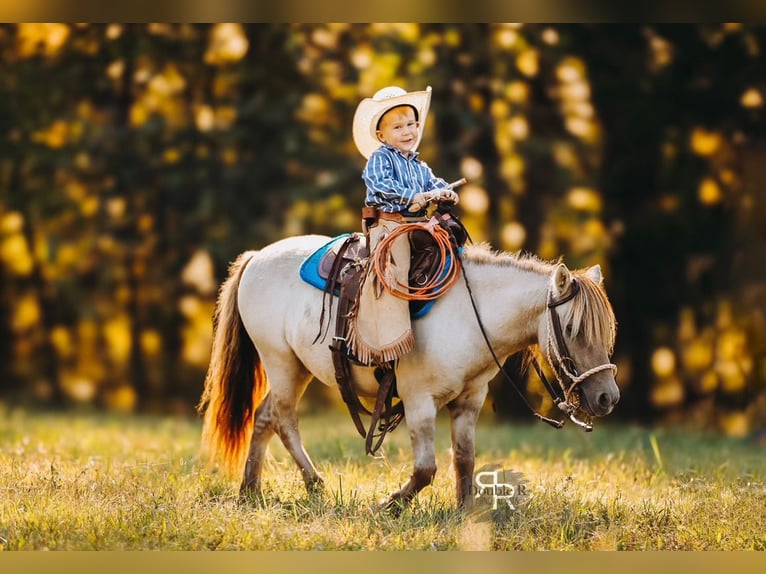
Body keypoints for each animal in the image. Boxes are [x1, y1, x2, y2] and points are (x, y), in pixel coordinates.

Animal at [198, 234, 619, 509]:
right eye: (572, 329)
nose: (607, 397)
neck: (470, 314)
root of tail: (257, 256)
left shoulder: (469, 401)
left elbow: (464, 459)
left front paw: (464, 512)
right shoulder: (419, 400)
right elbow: (426, 468)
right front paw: (391, 504)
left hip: (297, 368)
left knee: (265, 416)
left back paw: (253, 490)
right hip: (281, 362)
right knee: (283, 418)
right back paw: (310, 484)